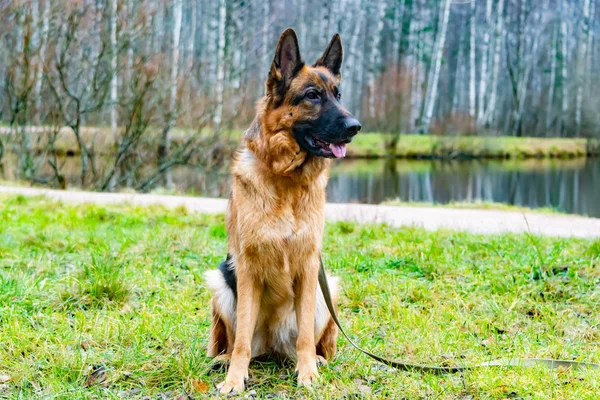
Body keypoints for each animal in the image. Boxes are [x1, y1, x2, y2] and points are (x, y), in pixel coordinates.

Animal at [204, 28, 358, 394]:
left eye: (337, 94)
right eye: (312, 96)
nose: (356, 126)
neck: (286, 181)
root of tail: (272, 345)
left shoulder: (309, 267)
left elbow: (304, 339)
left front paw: (307, 374)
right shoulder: (247, 269)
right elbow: (242, 341)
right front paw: (235, 378)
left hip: (326, 290)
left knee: (309, 340)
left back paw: (316, 360)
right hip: (221, 283)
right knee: (236, 340)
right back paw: (223, 360)